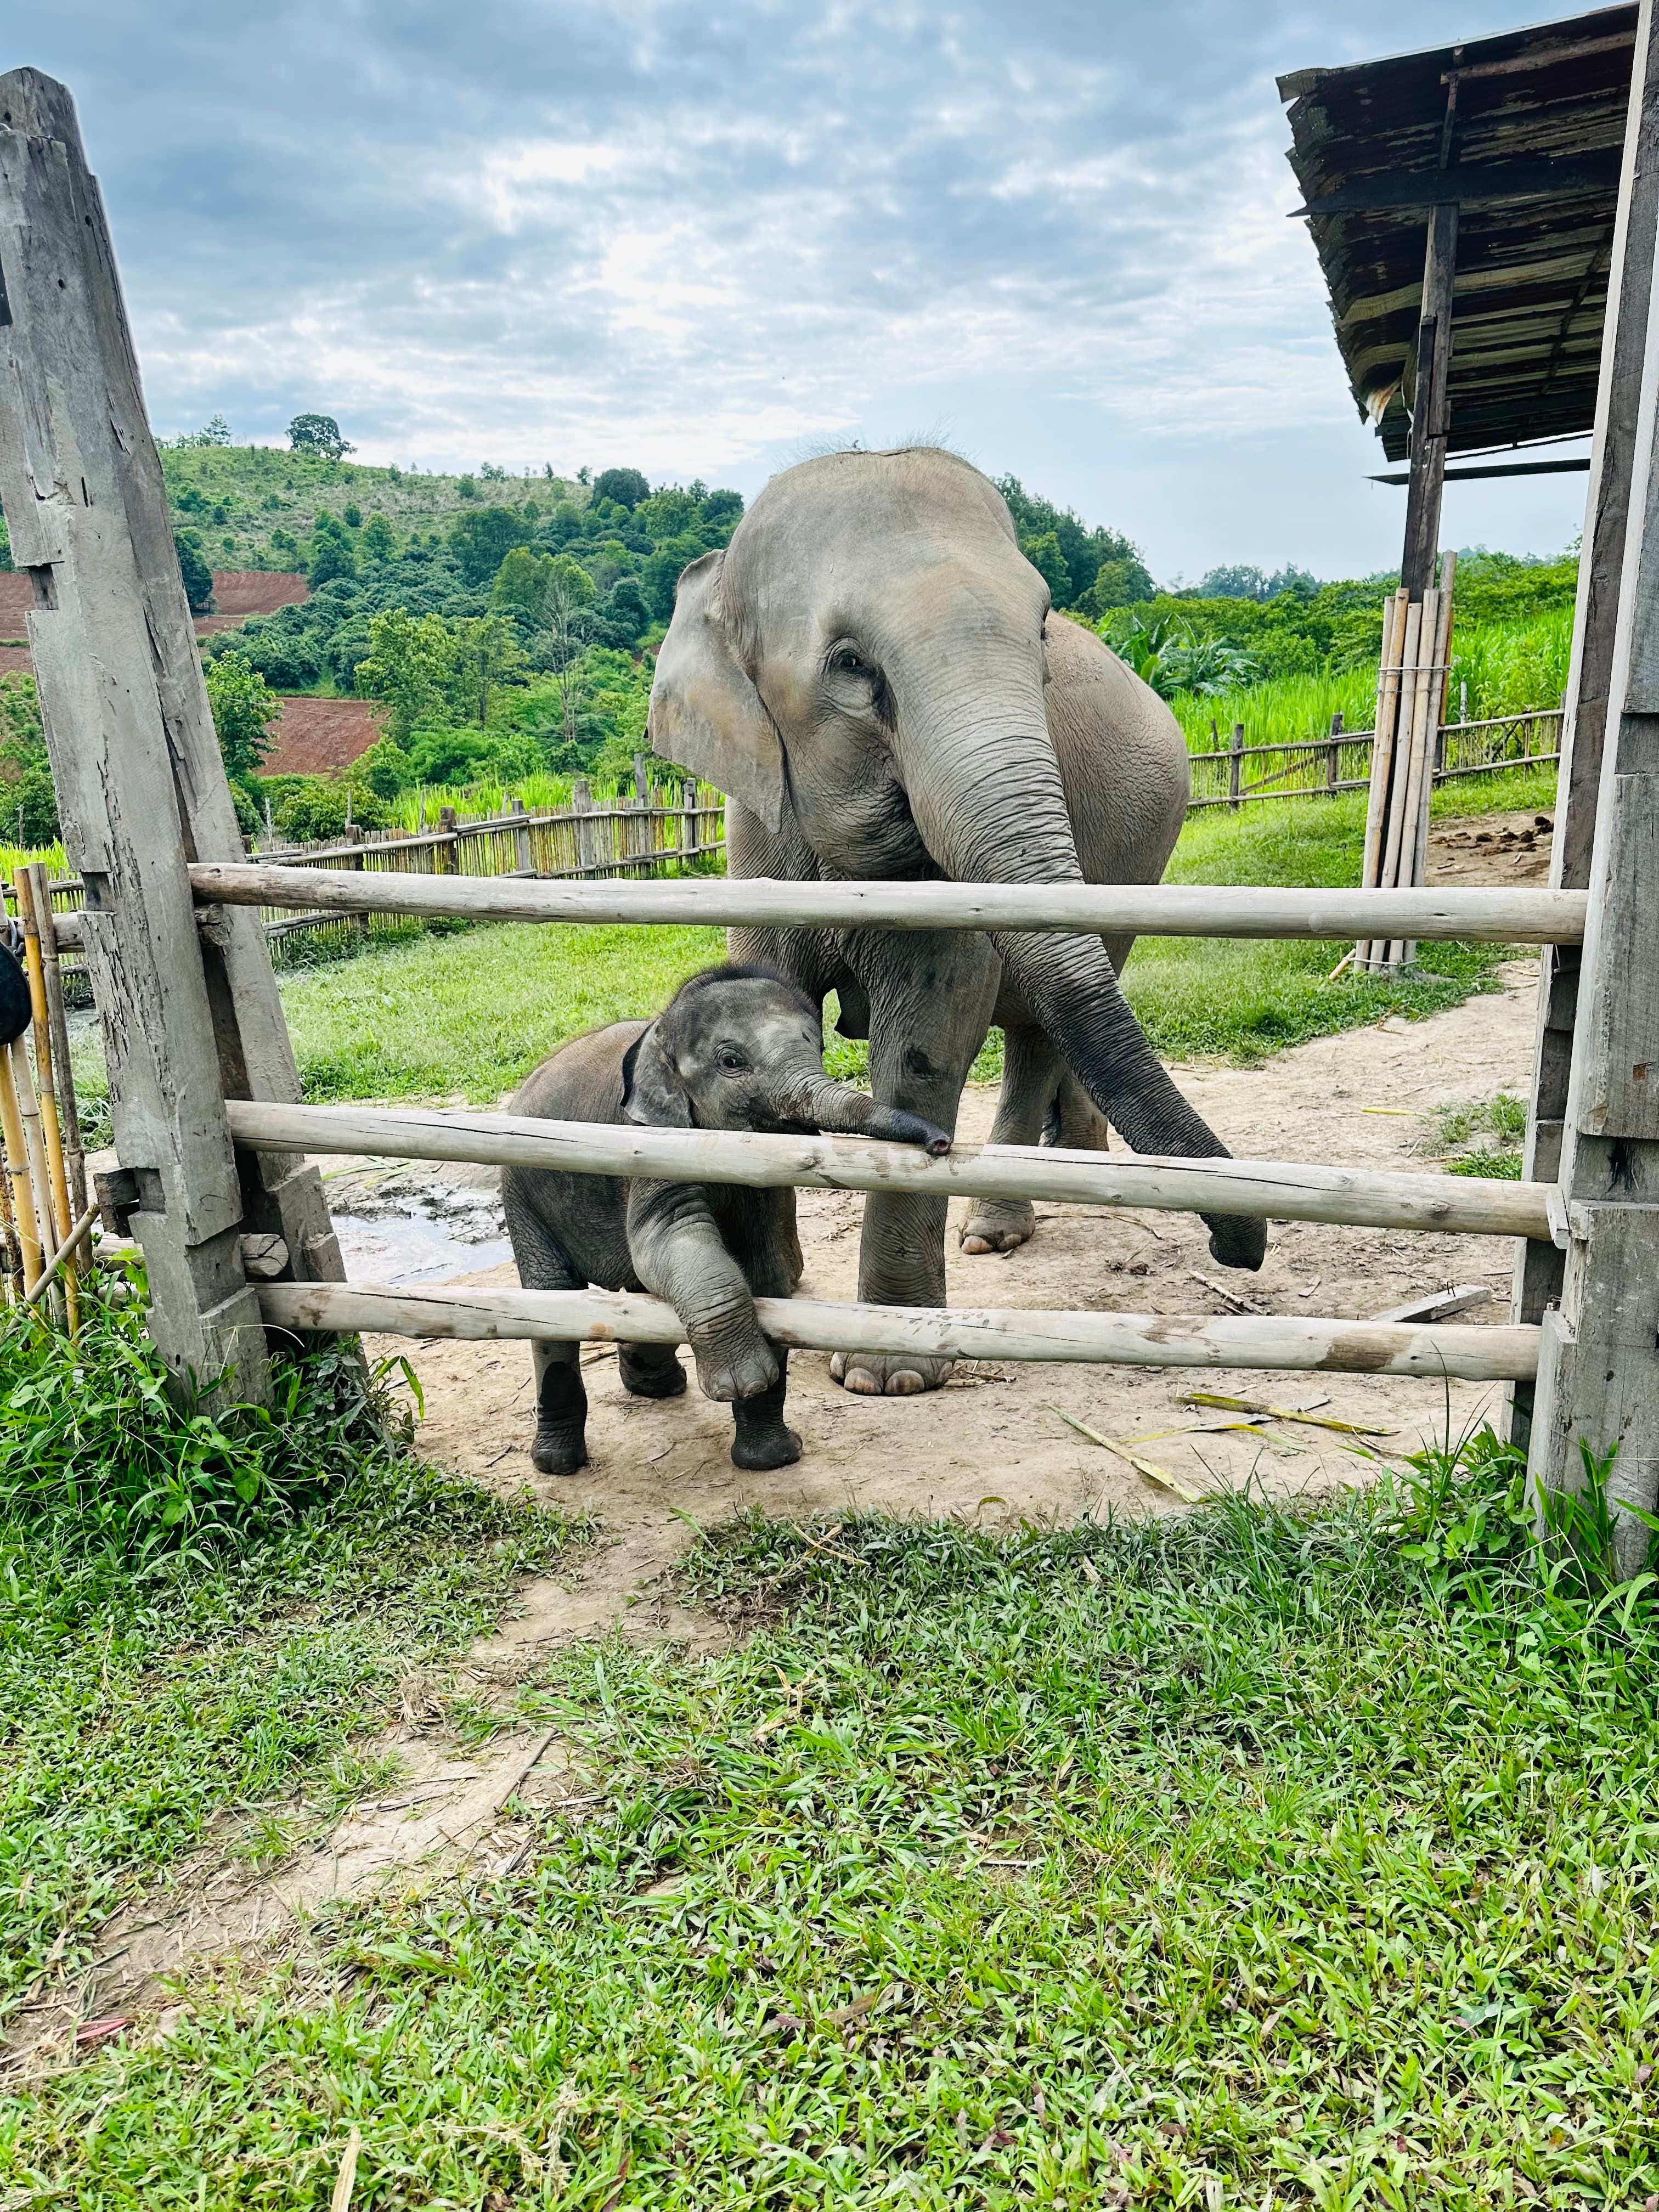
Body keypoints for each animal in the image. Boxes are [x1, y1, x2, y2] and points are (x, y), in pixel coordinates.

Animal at [500, 963, 951, 1477]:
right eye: (732, 1062)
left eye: (817, 1046)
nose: (941, 1142)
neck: (660, 1029)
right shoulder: (651, 1143)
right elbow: (670, 1240)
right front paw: (744, 1381)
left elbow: (768, 1275)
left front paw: (772, 1459)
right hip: (523, 1192)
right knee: (550, 1304)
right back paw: (558, 1464)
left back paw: (657, 1388)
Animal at [646, 445, 1267, 1399]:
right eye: (851, 663)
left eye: (1040, 630)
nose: (1241, 1250)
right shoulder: (753, 834)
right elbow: (764, 997)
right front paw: (783, 1291)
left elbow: (929, 1032)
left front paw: (882, 1377)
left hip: (1144, 849)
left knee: (1050, 1020)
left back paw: (996, 1230)